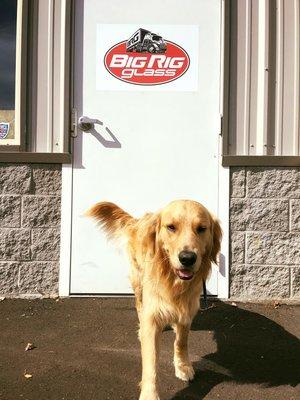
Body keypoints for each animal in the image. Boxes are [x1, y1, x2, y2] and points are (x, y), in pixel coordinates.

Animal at [85, 200, 221, 400]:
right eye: (171, 227)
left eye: (202, 229)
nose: (187, 258)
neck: (173, 282)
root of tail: (140, 220)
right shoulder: (152, 318)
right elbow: (150, 362)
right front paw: (150, 394)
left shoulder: (187, 312)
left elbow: (181, 342)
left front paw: (183, 366)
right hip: (138, 282)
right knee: (139, 306)